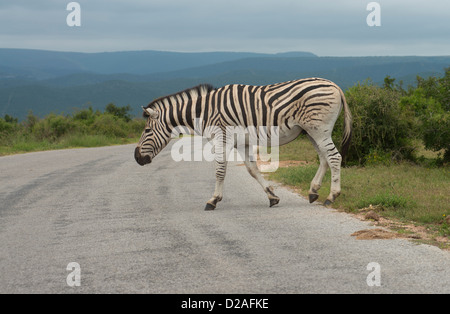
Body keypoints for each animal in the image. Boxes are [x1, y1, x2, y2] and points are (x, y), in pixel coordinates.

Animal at [134, 78, 352, 211]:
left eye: (147, 131)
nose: (136, 158)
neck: (204, 111)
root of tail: (334, 85)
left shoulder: (222, 137)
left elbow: (220, 171)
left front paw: (213, 200)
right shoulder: (242, 143)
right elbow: (252, 170)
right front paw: (272, 196)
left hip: (319, 129)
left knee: (334, 157)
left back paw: (332, 196)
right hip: (311, 131)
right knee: (324, 158)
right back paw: (313, 191)